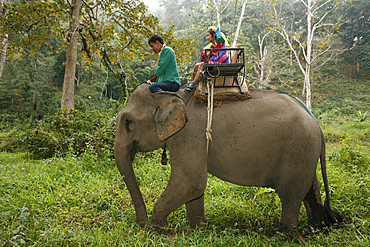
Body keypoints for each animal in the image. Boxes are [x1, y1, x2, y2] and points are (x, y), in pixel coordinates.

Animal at [113, 83, 342, 235]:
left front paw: (159, 230)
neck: (174, 95)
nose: (143, 227)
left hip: (297, 149)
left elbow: (191, 182)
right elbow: (194, 189)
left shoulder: (189, 135)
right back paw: (315, 228)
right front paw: (196, 231)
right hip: (304, 152)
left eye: (128, 122)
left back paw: (286, 234)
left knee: (289, 194)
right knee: (310, 189)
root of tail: (317, 124)